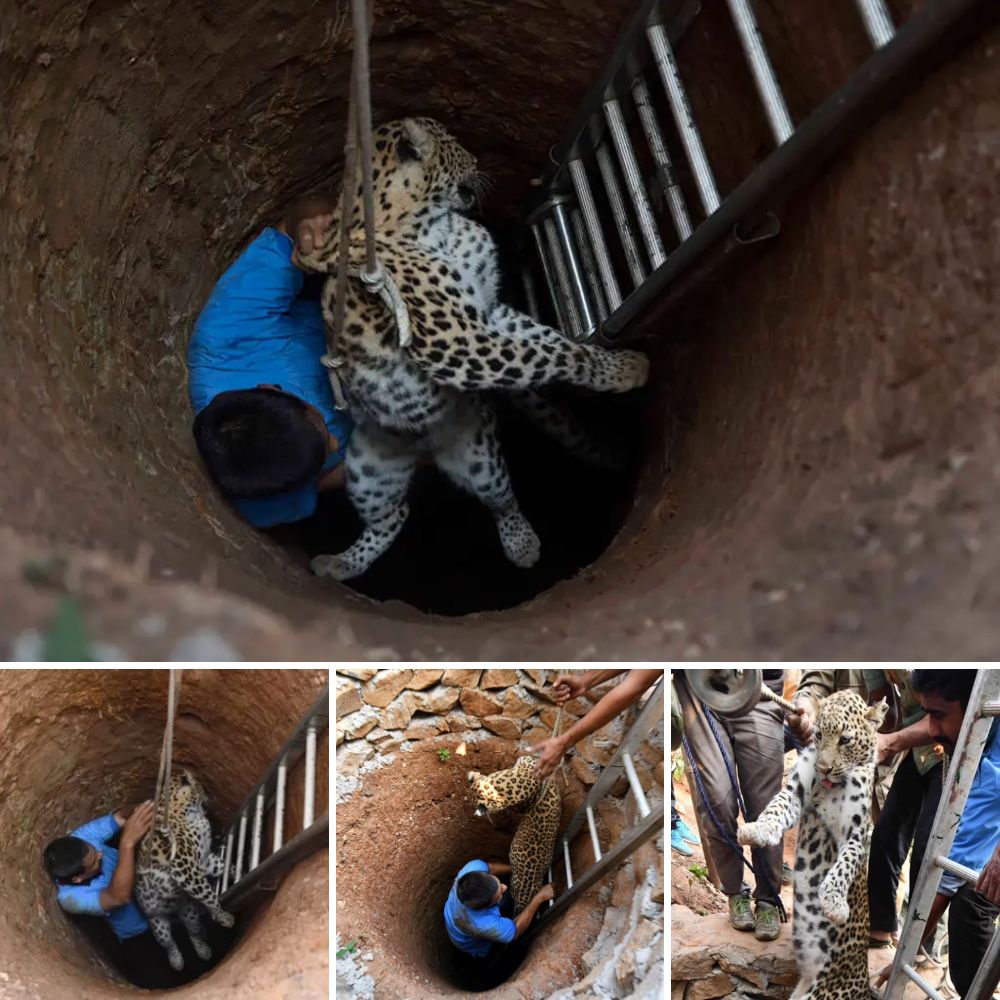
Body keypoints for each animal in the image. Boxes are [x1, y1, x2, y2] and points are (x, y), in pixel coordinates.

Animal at [133, 768, 234, 972]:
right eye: (201, 787)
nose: (208, 797)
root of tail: (171, 909)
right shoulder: (183, 865)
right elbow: (209, 895)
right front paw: (223, 916)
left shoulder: (201, 862)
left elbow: (219, 865)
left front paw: (234, 868)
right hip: (157, 921)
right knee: (168, 942)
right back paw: (177, 962)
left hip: (188, 910)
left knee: (193, 931)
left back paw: (204, 951)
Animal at [296, 117, 648, 584]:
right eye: (455, 146)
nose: (479, 161)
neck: (434, 225)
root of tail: (424, 450)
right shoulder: (454, 341)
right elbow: (548, 357)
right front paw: (623, 369)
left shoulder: (486, 312)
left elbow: (546, 343)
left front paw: (597, 357)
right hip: (369, 472)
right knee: (394, 517)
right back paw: (341, 563)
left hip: (476, 458)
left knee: (500, 500)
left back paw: (519, 542)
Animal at [736, 692, 884, 996]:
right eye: (818, 735)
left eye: (845, 740)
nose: (824, 769)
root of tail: (864, 984)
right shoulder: (795, 794)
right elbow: (775, 809)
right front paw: (757, 829)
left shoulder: (856, 834)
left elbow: (844, 865)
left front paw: (833, 903)